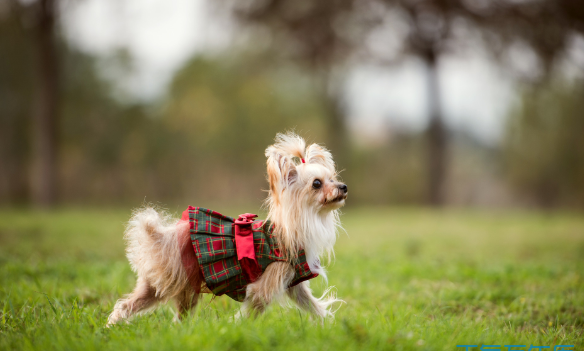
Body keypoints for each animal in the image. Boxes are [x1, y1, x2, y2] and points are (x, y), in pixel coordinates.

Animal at [105, 133, 346, 326]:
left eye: (333, 179)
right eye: (316, 184)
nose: (343, 187)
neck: (299, 224)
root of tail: (161, 236)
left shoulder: (294, 285)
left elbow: (312, 304)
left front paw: (327, 324)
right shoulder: (265, 285)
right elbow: (254, 308)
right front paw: (241, 328)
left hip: (160, 287)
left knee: (130, 306)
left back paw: (114, 326)